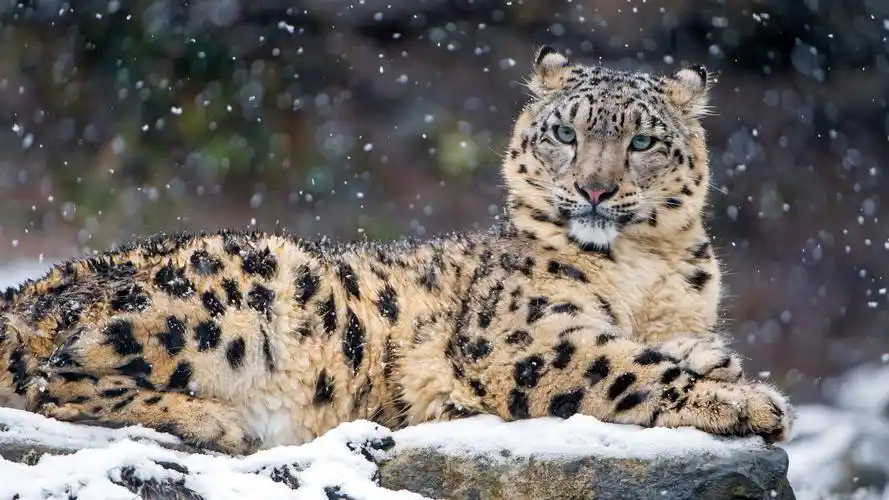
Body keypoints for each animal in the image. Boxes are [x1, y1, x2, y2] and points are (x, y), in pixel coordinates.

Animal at [0, 47, 792, 455]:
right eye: (565, 133)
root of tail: (33, 285)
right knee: (53, 381)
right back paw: (213, 421)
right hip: (230, 295)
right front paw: (746, 402)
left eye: (644, 140)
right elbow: (625, 367)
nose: (594, 190)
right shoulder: (522, 335)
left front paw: (715, 359)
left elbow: (660, 347)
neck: (644, 271)